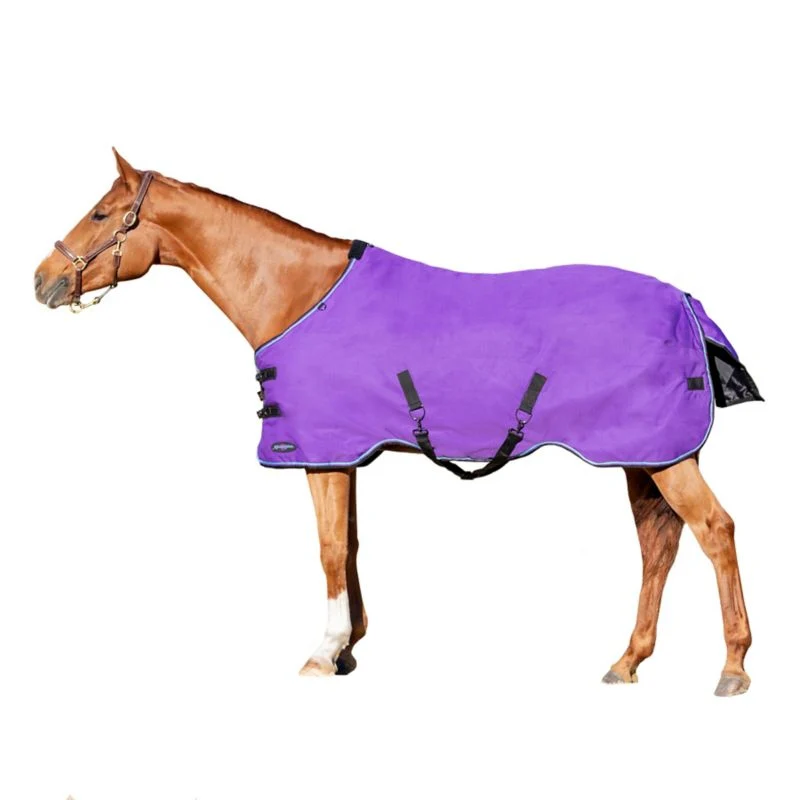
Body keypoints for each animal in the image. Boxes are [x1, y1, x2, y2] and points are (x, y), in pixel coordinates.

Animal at [33, 149, 761, 696]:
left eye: (101, 213)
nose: (41, 280)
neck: (300, 295)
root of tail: (685, 302)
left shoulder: (321, 452)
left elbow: (328, 547)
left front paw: (323, 653)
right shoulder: (346, 452)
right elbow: (350, 544)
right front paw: (349, 649)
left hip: (666, 456)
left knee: (715, 531)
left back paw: (732, 667)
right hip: (643, 453)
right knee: (658, 543)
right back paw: (627, 660)